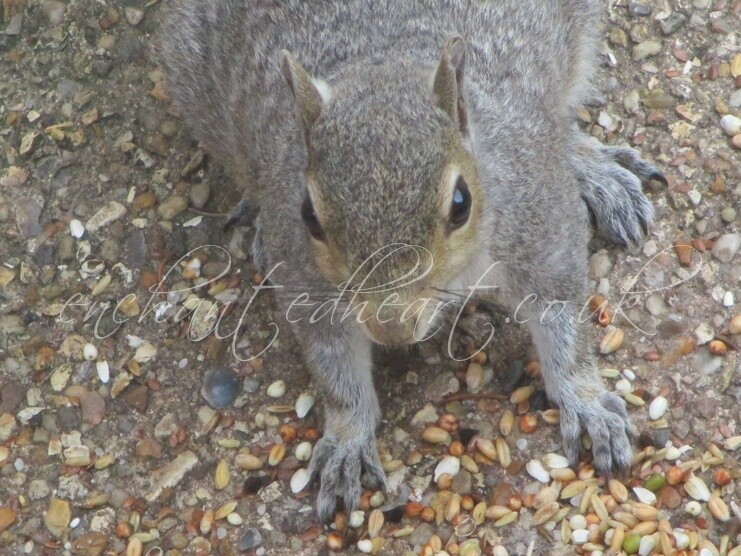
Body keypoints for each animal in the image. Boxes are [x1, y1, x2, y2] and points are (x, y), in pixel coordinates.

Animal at [159, 0, 664, 521]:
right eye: (309, 216)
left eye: (460, 203)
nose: (392, 330)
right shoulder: (305, 277)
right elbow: (333, 364)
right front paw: (347, 439)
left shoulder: (540, 225)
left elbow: (564, 325)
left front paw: (585, 402)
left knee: (562, 118)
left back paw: (591, 167)